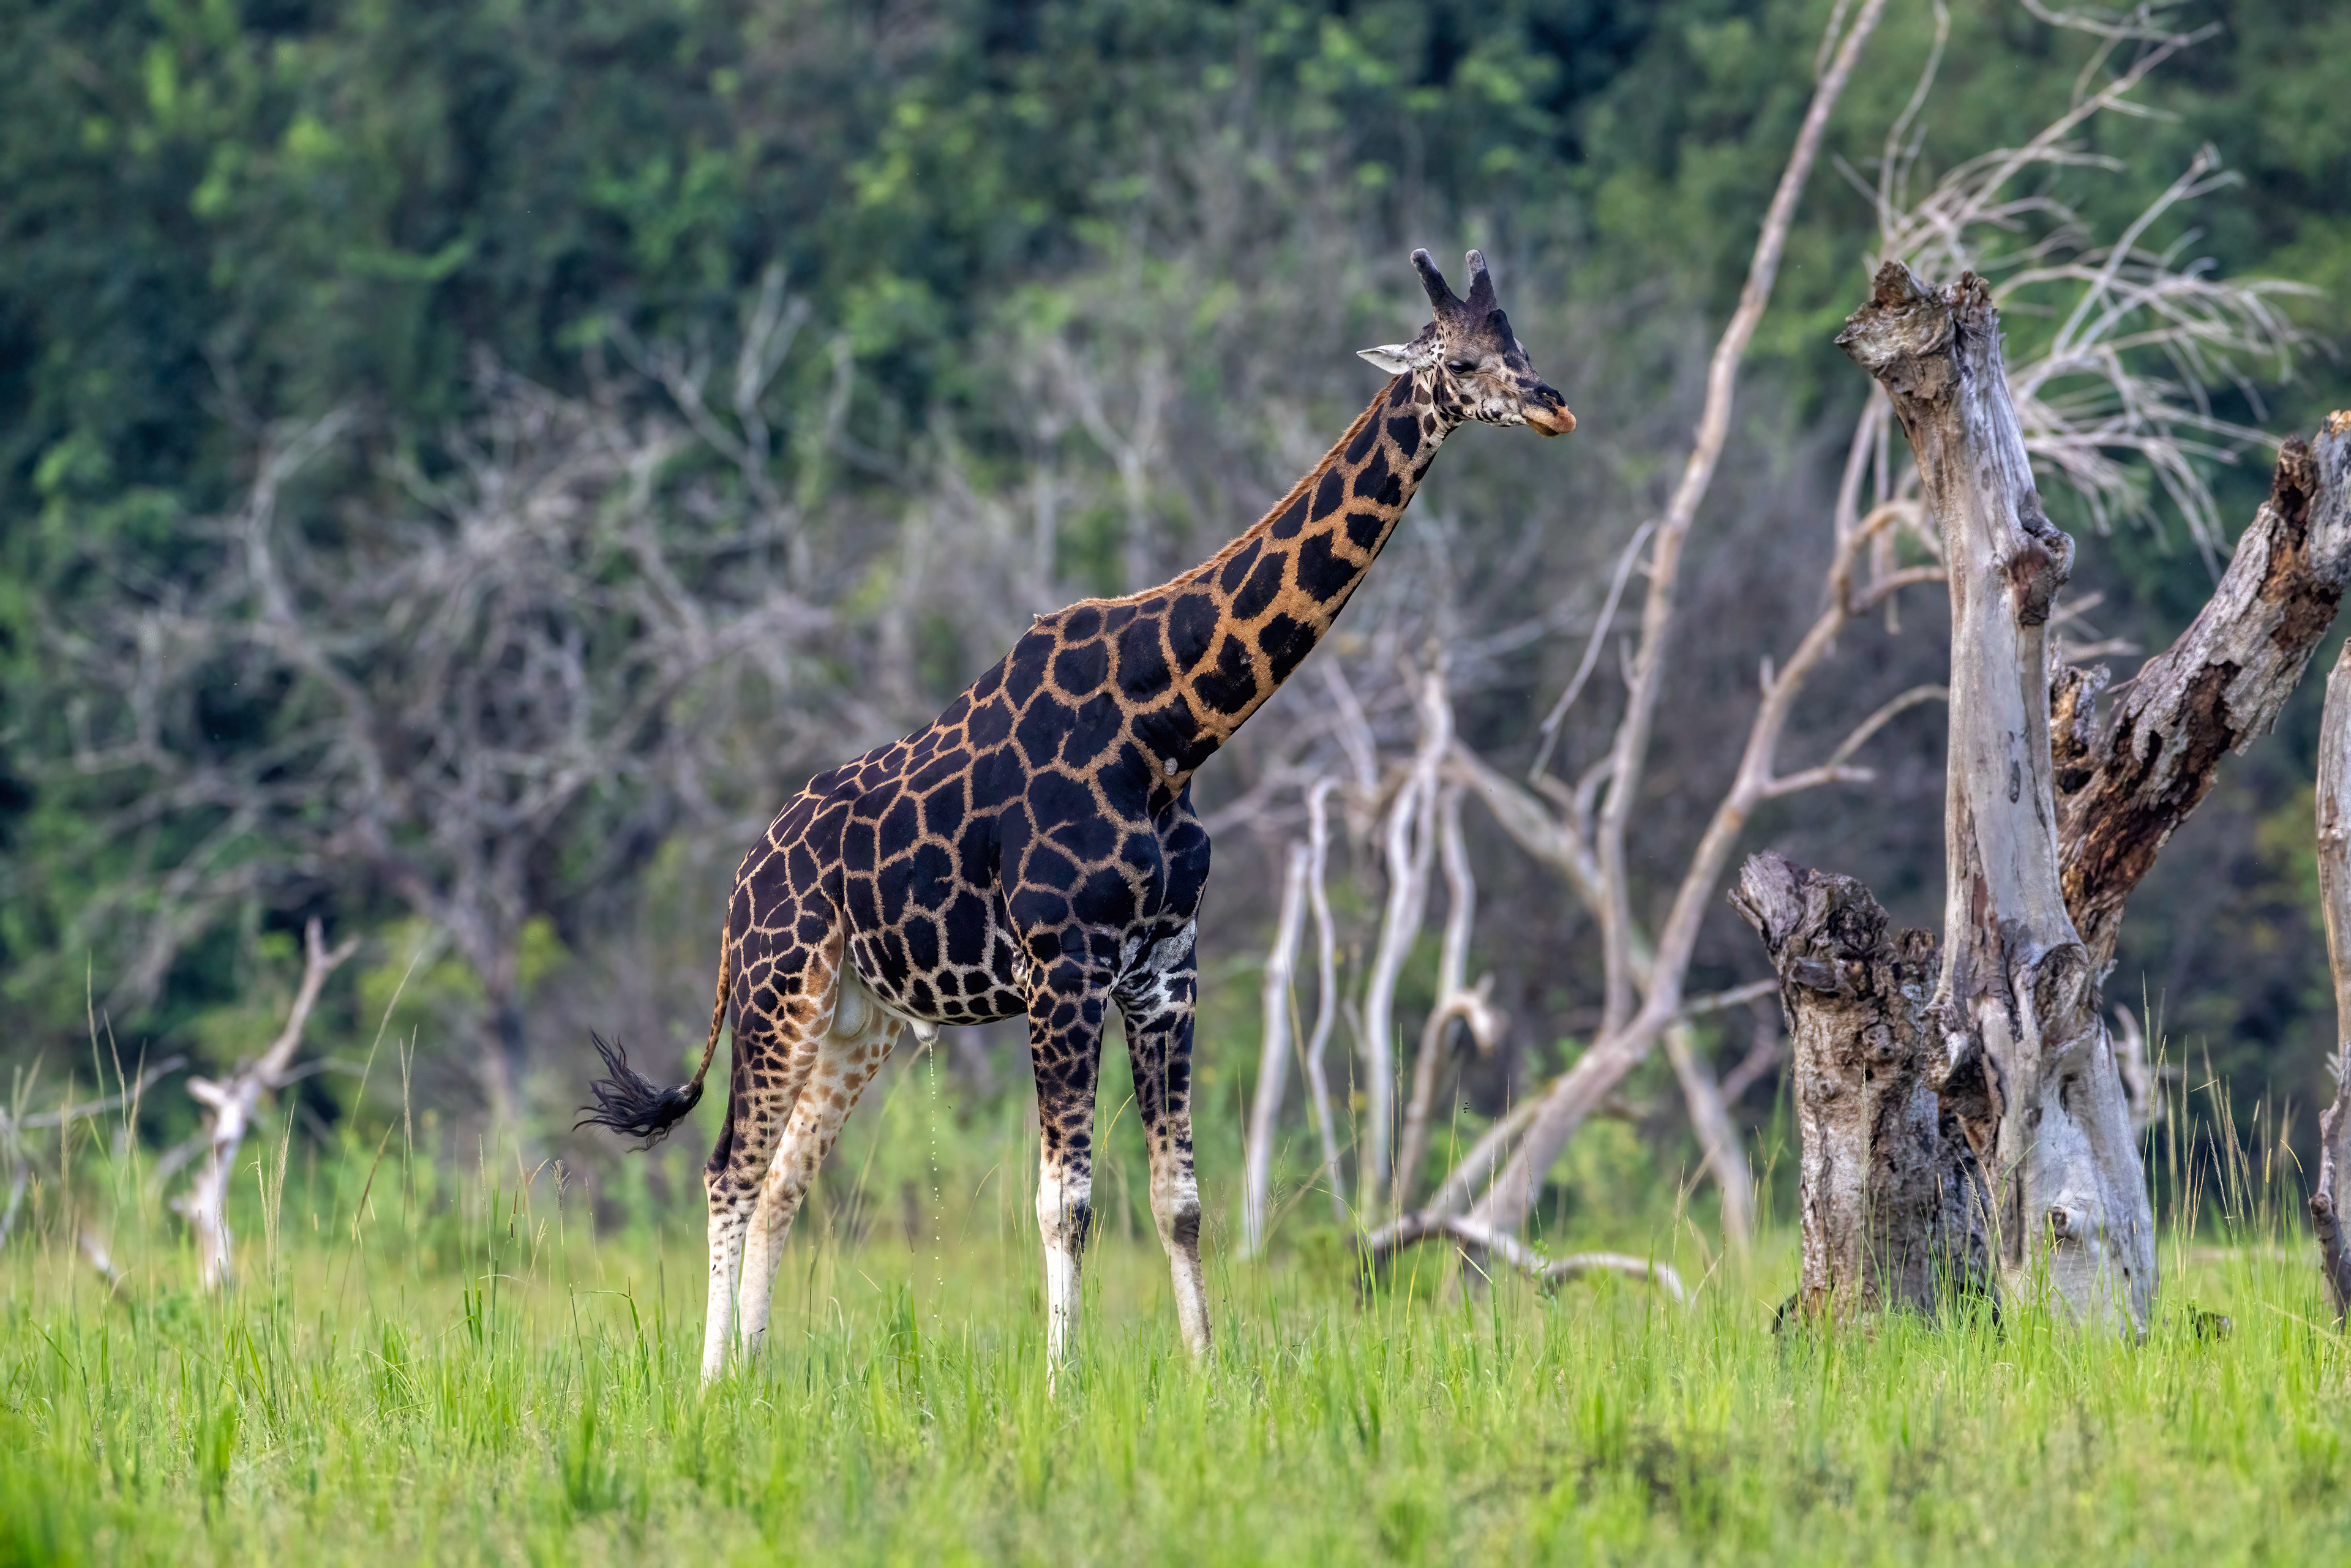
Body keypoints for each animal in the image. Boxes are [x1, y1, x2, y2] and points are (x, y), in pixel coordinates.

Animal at [580, 249, 1574, 1383]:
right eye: (1460, 361)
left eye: (1518, 342)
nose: (1551, 405)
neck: (1172, 729)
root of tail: (743, 881)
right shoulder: (1063, 966)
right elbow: (1066, 1203)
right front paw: (1062, 1382)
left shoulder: (1165, 967)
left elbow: (1180, 1200)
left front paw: (1205, 1370)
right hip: (778, 988)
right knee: (729, 1171)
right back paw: (711, 1383)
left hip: (857, 1018)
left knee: (786, 1175)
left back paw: (754, 1370)